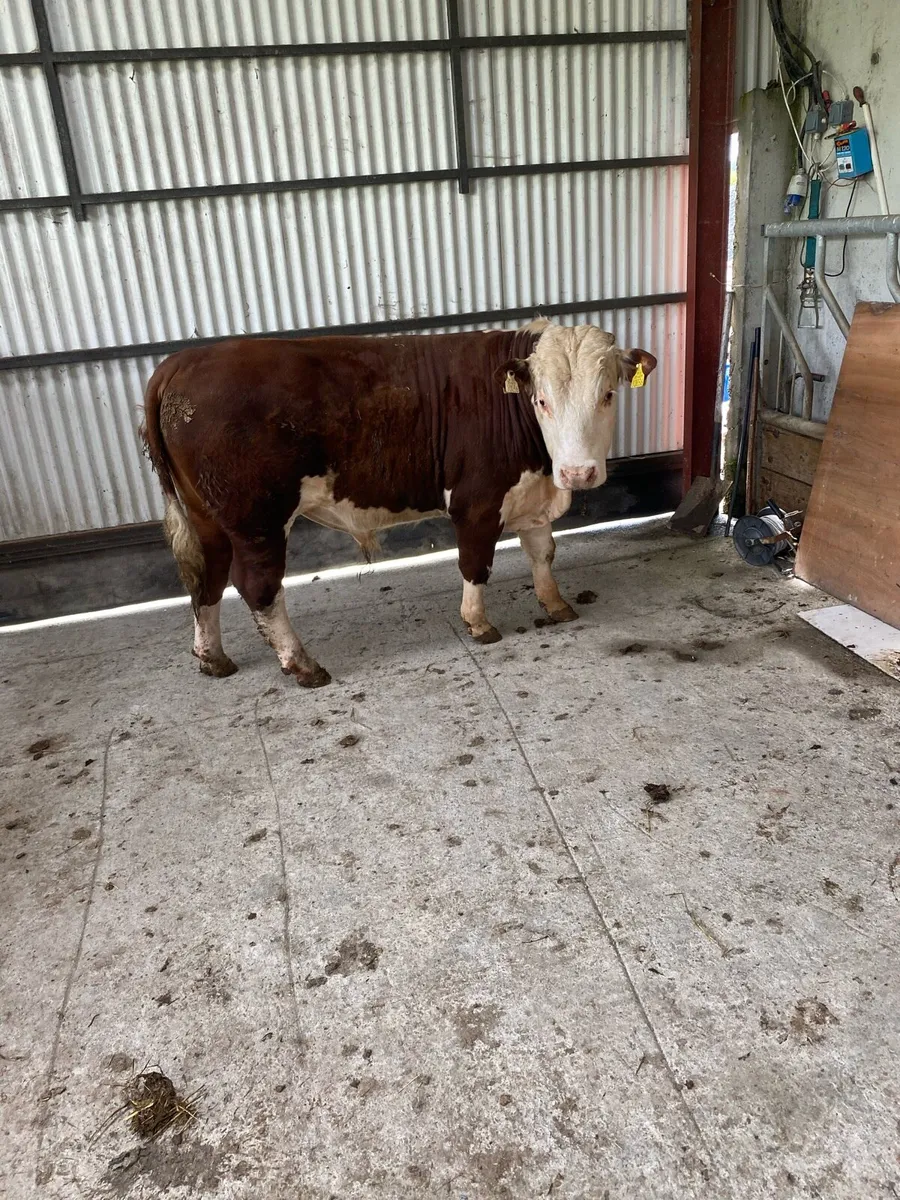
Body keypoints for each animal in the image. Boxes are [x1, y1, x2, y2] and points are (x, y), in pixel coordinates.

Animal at [141, 320, 656, 687]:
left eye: (608, 394)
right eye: (541, 400)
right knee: (257, 587)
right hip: (257, 518)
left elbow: (542, 553)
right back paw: (303, 665)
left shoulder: (530, 494)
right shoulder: (476, 500)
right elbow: (476, 563)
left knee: (206, 577)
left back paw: (213, 657)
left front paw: (556, 604)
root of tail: (181, 360)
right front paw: (479, 624)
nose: (578, 472)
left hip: (209, 517)